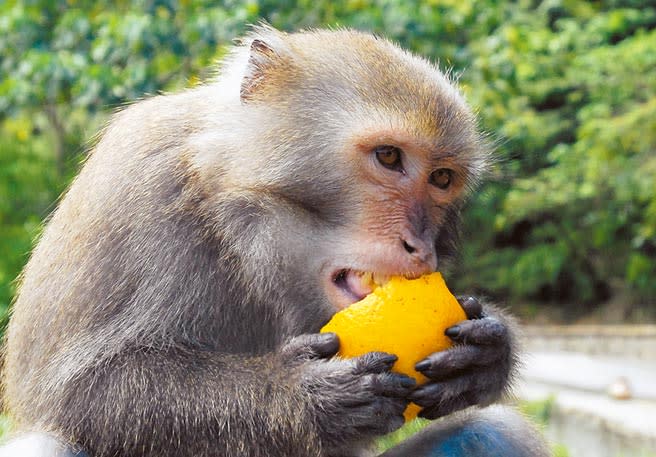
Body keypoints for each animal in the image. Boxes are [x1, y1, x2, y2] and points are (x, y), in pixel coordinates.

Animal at [1, 25, 548, 456]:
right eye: (389, 157)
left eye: (441, 178)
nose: (422, 247)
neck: (242, 236)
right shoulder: (137, 179)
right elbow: (73, 393)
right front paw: (296, 392)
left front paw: (490, 350)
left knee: (495, 432)